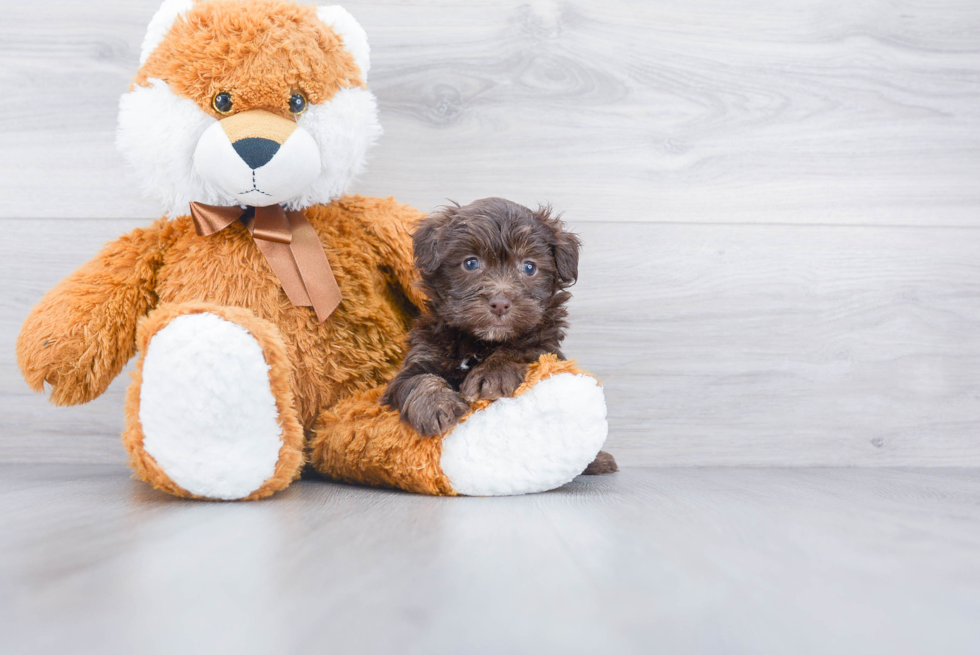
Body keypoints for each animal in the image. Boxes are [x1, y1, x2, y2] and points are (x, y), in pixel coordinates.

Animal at [380, 196, 616, 476]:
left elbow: (519, 349)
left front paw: (491, 374)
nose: (500, 303)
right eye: (470, 263)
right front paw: (437, 405)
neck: (480, 342)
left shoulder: (545, 348)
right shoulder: (422, 354)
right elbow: (418, 379)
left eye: (529, 267)